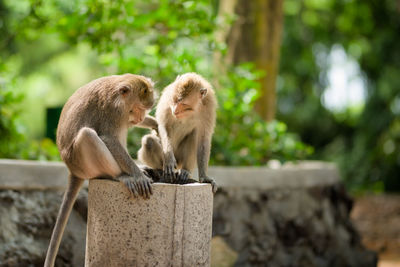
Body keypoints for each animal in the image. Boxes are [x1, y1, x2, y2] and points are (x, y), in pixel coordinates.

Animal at [44, 74, 155, 267]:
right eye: (137, 108)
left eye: (144, 109)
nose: (141, 117)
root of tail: (72, 170)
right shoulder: (113, 112)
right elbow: (109, 139)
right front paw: (138, 176)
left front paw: (154, 123)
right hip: (81, 162)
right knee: (87, 135)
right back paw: (121, 176)